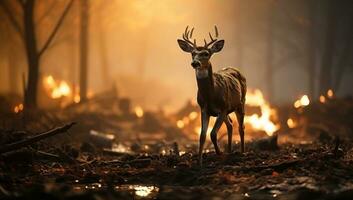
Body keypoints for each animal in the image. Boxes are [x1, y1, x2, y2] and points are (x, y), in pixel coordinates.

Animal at [176, 25, 248, 165]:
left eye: (206, 53)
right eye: (192, 53)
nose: (195, 63)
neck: (210, 96)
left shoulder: (223, 108)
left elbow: (213, 134)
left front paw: (219, 153)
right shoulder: (204, 109)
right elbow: (202, 135)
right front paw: (199, 162)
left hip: (241, 102)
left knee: (241, 127)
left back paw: (242, 152)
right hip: (228, 110)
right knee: (230, 124)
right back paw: (229, 151)